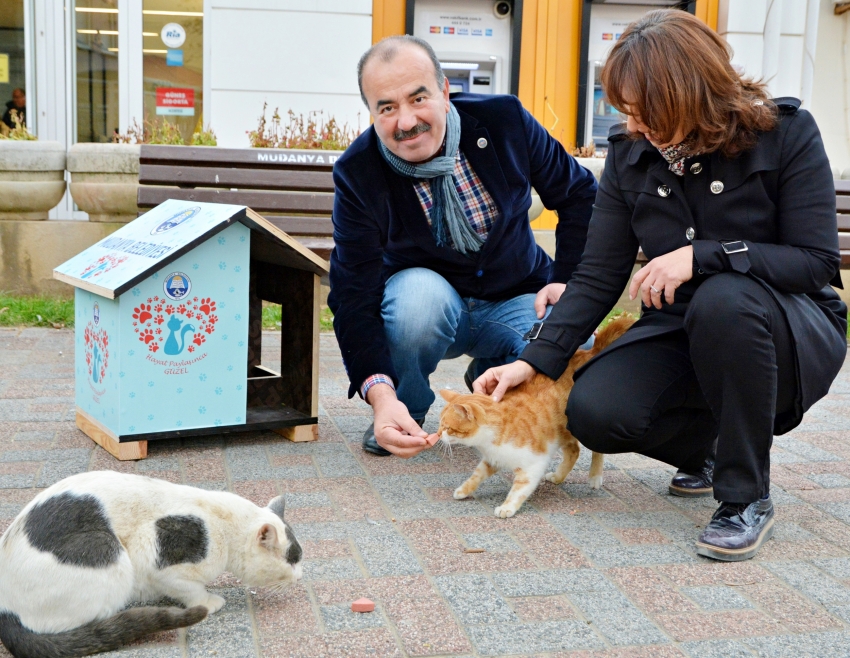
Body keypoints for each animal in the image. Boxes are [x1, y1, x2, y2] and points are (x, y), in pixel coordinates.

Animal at [0, 468, 304, 652]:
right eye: (292, 560)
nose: (301, 576)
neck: (222, 519)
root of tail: (5, 610)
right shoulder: (154, 557)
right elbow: (191, 590)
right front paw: (208, 602)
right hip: (108, 550)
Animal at [440, 314, 632, 516]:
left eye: (447, 427)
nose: (438, 436)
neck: (489, 440)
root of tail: (589, 352)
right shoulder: (492, 459)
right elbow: (477, 475)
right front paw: (464, 489)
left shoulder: (533, 465)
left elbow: (519, 489)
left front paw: (507, 507)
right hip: (563, 433)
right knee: (574, 451)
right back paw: (558, 476)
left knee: (596, 448)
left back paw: (595, 476)